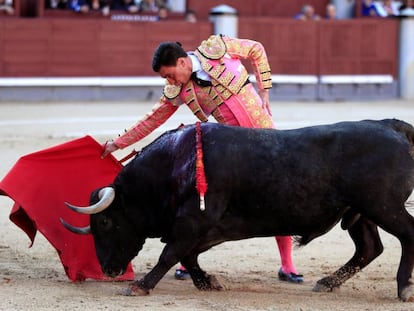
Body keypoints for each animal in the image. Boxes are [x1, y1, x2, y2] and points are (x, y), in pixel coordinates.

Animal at [60, 119, 414, 302]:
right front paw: (207, 282)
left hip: (384, 206)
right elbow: (187, 255)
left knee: (405, 236)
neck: (175, 162)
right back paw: (327, 282)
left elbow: (169, 253)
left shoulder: (194, 221)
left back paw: (404, 288)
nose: (109, 270)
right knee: (369, 248)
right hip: (360, 213)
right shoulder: (209, 228)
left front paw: (141, 285)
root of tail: (391, 126)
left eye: (105, 221)